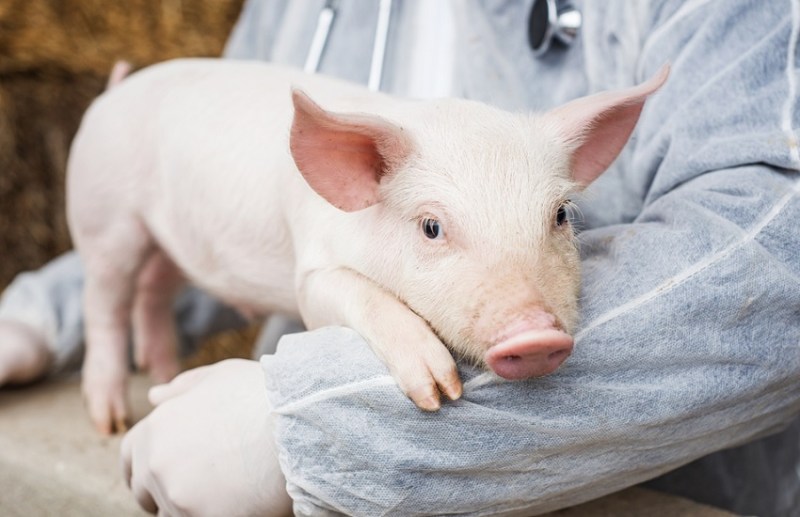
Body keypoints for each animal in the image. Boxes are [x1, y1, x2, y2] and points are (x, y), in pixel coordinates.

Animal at [67, 58, 668, 434]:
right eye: (431, 227)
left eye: (560, 216)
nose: (537, 334)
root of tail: (114, 91)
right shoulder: (311, 273)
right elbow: (347, 296)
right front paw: (437, 392)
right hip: (104, 218)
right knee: (103, 302)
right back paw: (112, 421)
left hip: (168, 241)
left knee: (154, 289)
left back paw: (165, 379)